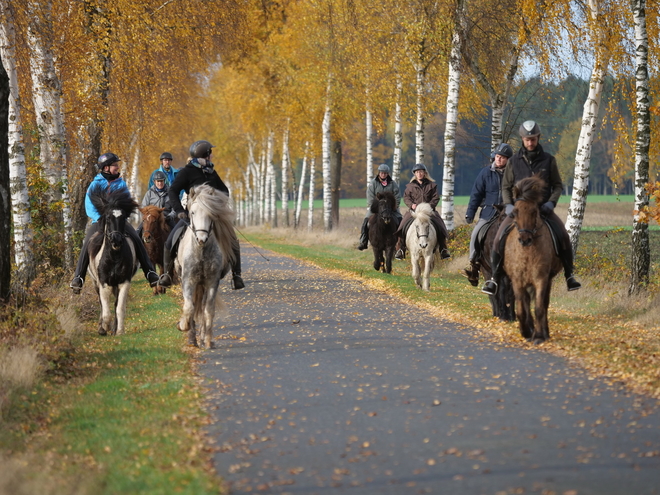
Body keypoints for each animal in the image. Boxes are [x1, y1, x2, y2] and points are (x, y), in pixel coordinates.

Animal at [87, 186, 139, 338]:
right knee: (101, 303)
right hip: (95, 282)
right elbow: (106, 311)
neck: (114, 257)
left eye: (123, 217)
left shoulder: (124, 282)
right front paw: (103, 328)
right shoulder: (104, 283)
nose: (116, 241)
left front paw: (119, 331)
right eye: (108, 217)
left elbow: (119, 308)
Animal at [174, 183, 236, 348]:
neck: (201, 251)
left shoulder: (212, 282)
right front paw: (184, 326)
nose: (201, 239)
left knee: (202, 307)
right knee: (194, 305)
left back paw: (201, 338)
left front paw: (208, 340)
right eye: (192, 212)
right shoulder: (188, 281)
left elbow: (208, 310)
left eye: (211, 214)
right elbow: (189, 306)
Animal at [506, 177, 564, 344]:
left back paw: (544, 332)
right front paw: (525, 331)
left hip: (548, 280)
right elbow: (521, 309)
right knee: (525, 303)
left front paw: (538, 336)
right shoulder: (517, 280)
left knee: (544, 304)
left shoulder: (541, 279)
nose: (525, 239)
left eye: (534, 211)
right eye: (515, 212)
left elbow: (539, 307)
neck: (527, 252)